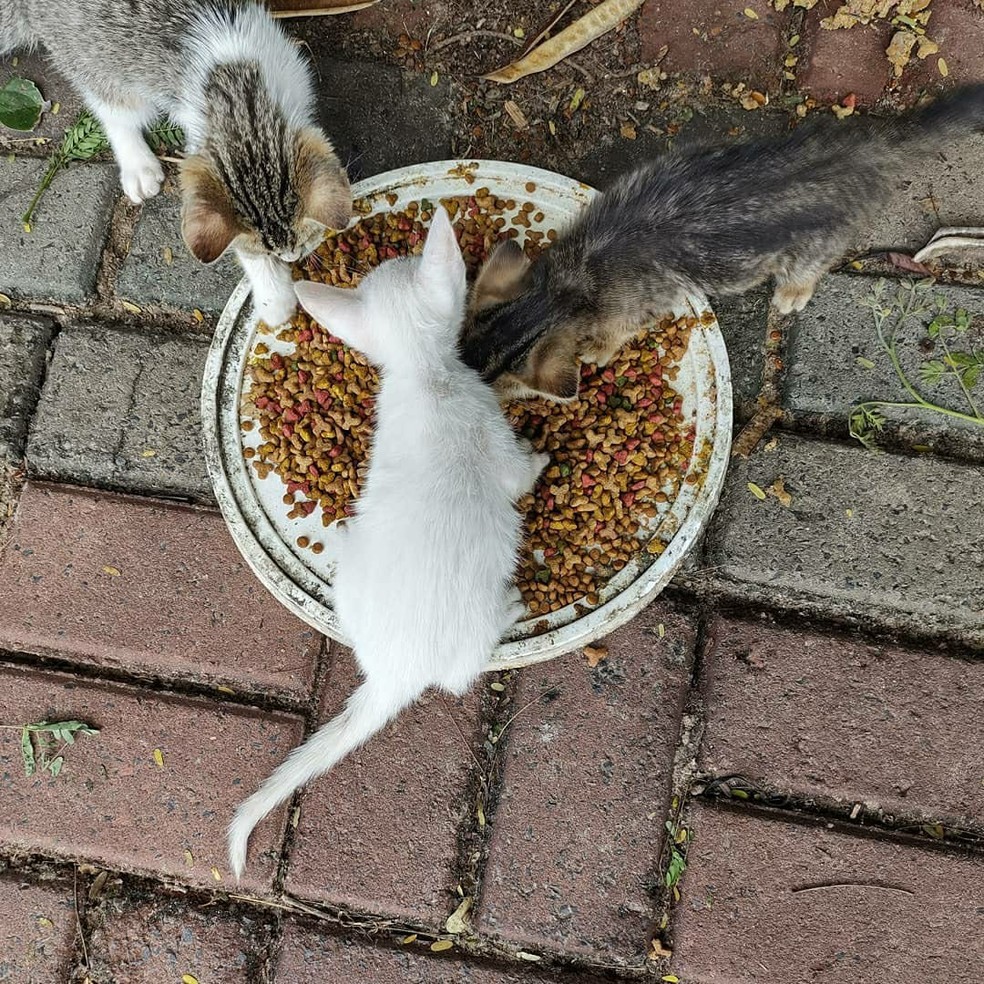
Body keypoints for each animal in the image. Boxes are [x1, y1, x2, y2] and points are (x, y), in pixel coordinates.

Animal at [0, 0, 354, 324]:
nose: (292, 256)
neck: (240, 95)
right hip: (89, 59)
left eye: (302, 240)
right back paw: (137, 164)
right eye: (266, 251)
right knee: (114, 109)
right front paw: (274, 299)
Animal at [227, 209, 544, 876]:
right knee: (463, 671)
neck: (428, 376)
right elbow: (519, 475)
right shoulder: (493, 433)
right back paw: (513, 605)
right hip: (469, 635)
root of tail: (394, 672)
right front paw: (543, 456)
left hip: (351, 570)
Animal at [462, 83, 984, 400]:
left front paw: (596, 353)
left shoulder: (629, 312)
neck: (565, 285)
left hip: (815, 246)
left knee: (808, 271)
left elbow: (613, 337)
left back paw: (791, 295)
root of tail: (863, 151)